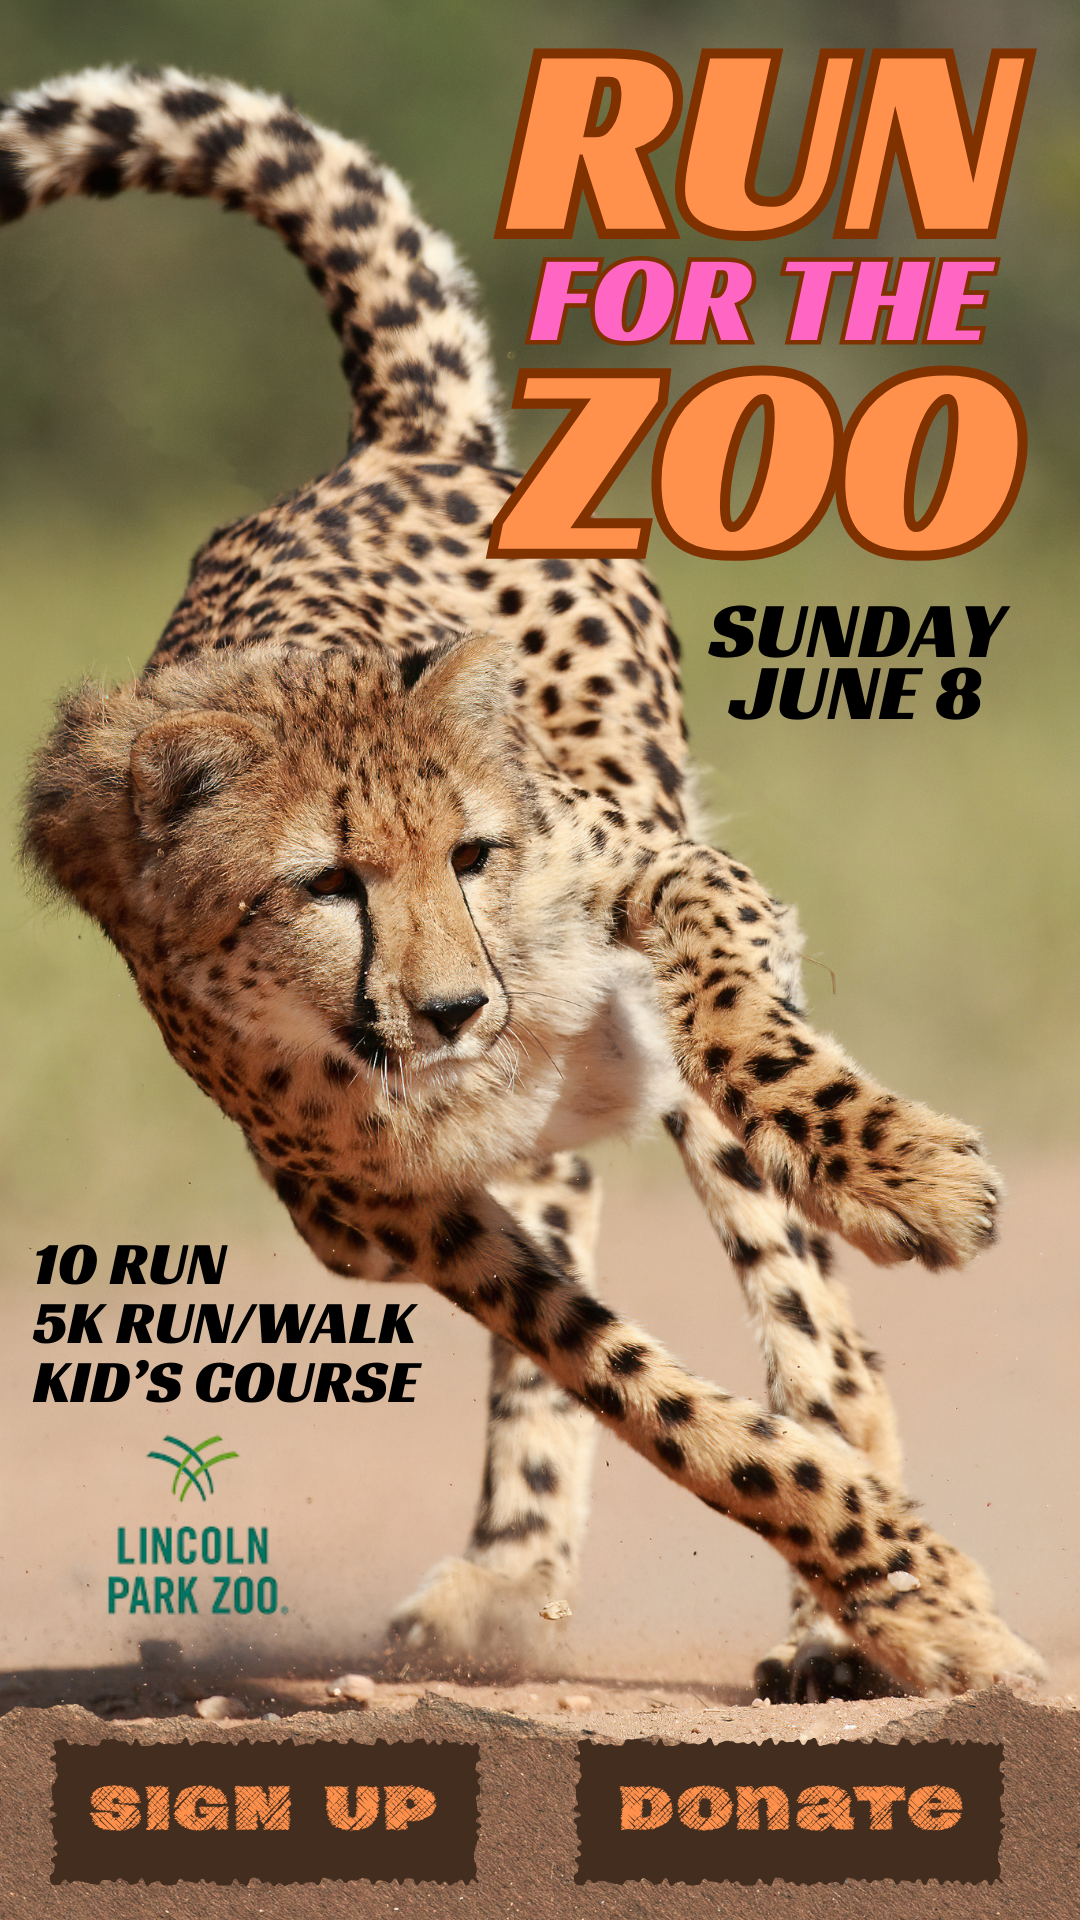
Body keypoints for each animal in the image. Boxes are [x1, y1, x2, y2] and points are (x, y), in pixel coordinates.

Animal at [5, 64, 1044, 1701]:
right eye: (326, 885)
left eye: (471, 856)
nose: (450, 1010)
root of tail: (394, 442)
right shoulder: (396, 1214)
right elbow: (645, 1394)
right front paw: (886, 1564)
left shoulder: (673, 879)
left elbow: (753, 1040)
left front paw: (906, 1176)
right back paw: (527, 1576)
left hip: (659, 1031)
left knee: (816, 1318)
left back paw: (835, 1620)